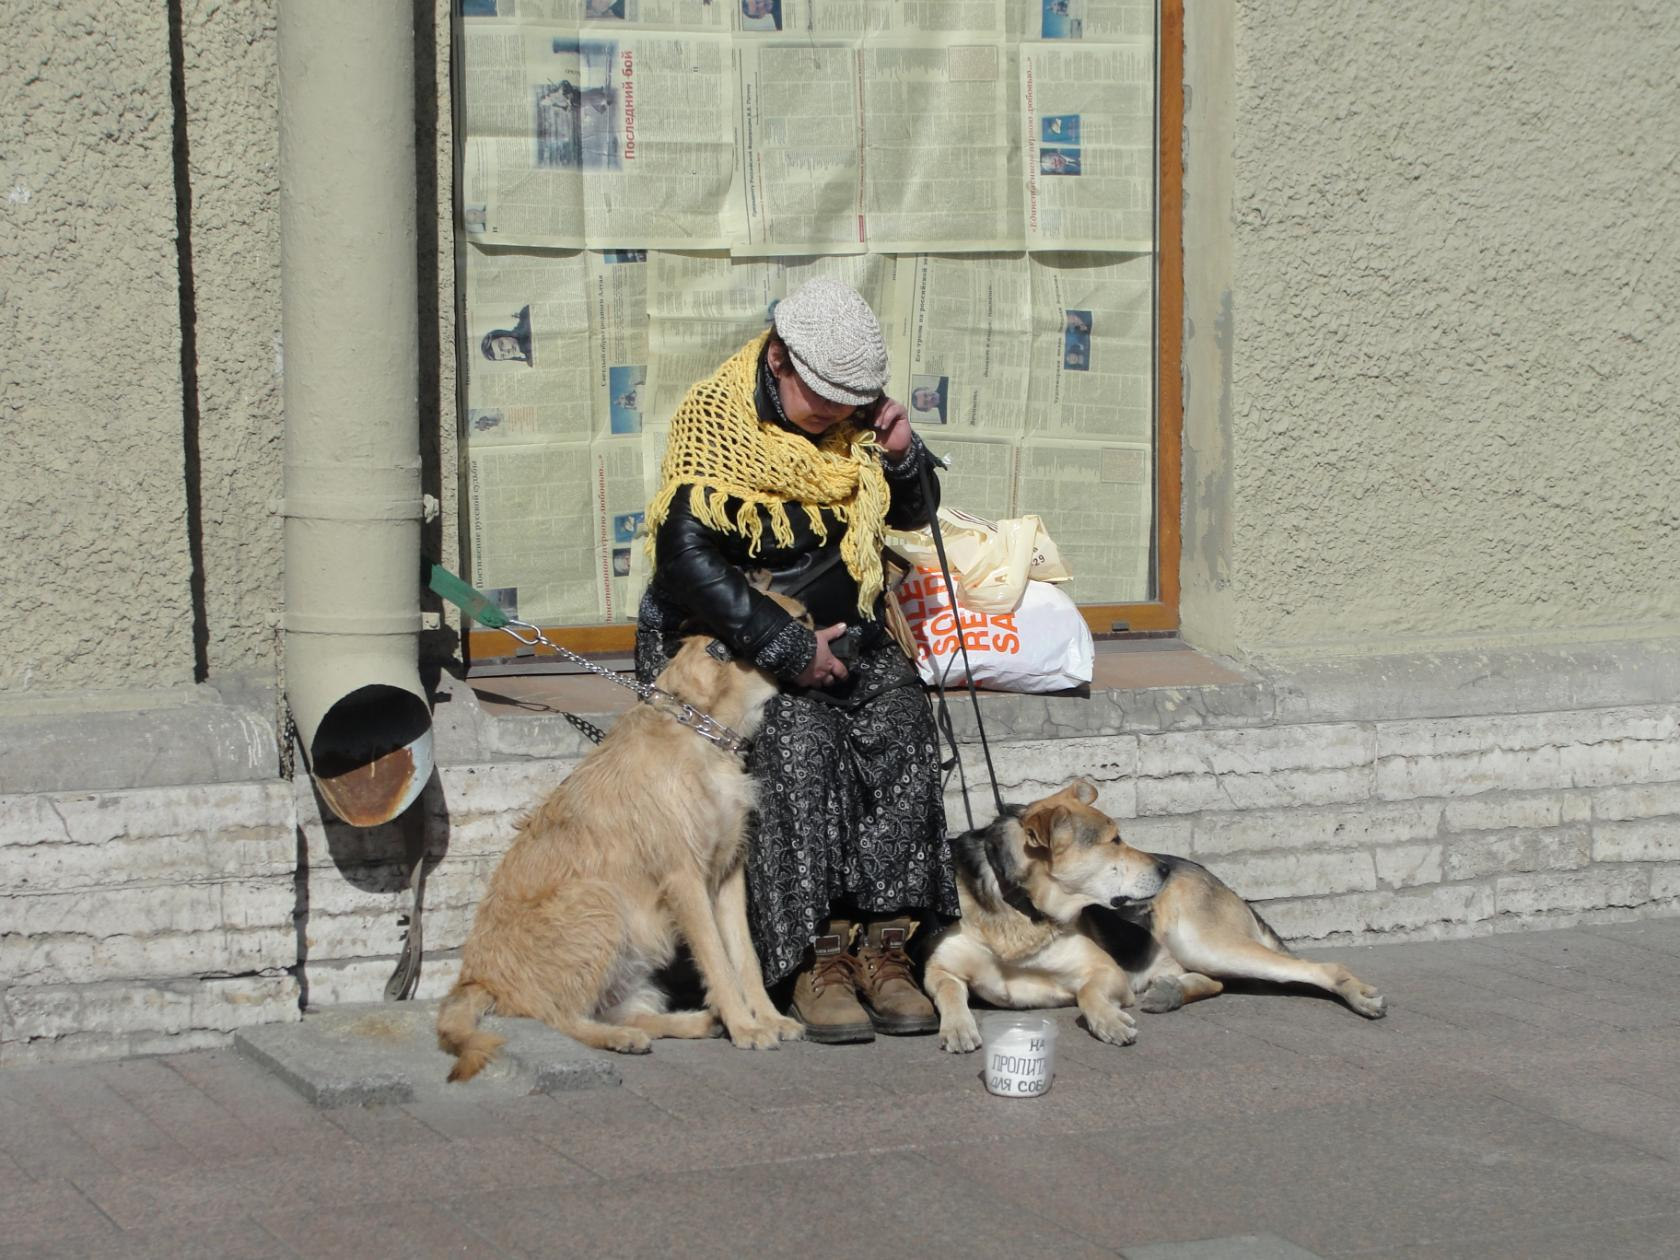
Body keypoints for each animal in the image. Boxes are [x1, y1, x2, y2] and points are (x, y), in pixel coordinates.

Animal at [433, 608, 799, 1081]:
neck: (700, 729)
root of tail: (477, 980)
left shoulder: (728, 874)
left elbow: (745, 956)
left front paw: (767, 1018)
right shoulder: (685, 879)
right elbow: (719, 960)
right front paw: (745, 1026)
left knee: (620, 1010)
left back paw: (690, 1023)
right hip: (596, 902)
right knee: (559, 1018)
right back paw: (619, 1038)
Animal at [927, 779, 1384, 1055]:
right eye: (1114, 841)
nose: (1163, 870)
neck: (1025, 909)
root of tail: (1212, 875)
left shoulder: (1105, 970)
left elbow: (1087, 993)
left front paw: (1108, 1021)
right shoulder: (938, 968)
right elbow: (948, 990)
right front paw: (958, 1027)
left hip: (1204, 943)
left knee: (1320, 967)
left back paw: (1359, 995)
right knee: (1215, 981)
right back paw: (1170, 992)